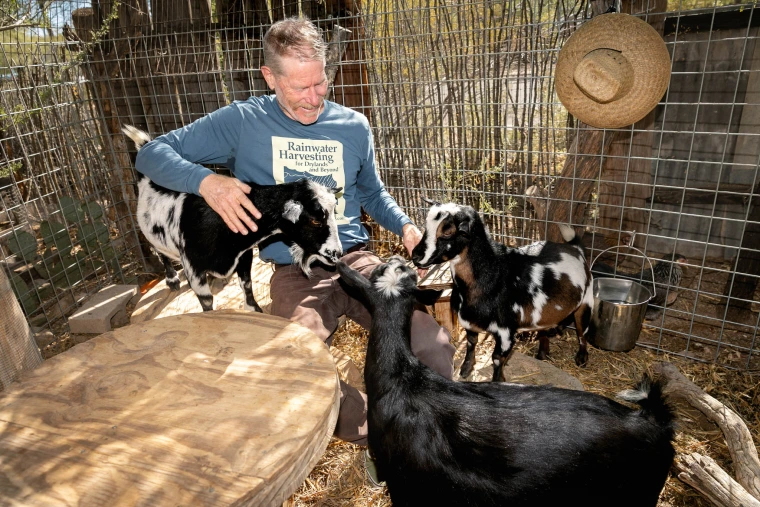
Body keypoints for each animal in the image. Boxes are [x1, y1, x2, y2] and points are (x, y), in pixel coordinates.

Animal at [123, 125, 342, 312]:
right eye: (315, 220)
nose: (337, 253)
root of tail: (145, 145)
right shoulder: (194, 267)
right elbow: (206, 301)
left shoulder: (244, 254)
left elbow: (246, 283)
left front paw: (254, 309)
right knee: (159, 252)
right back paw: (172, 279)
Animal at [410, 202, 592, 380]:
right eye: (426, 226)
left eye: (447, 232)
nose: (415, 256)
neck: (494, 271)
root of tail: (575, 248)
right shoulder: (469, 322)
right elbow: (471, 343)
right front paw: (466, 368)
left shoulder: (506, 330)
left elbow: (497, 358)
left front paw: (498, 380)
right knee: (544, 329)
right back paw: (542, 353)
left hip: (586, 302)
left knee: (582, 333)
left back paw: (581, 359)